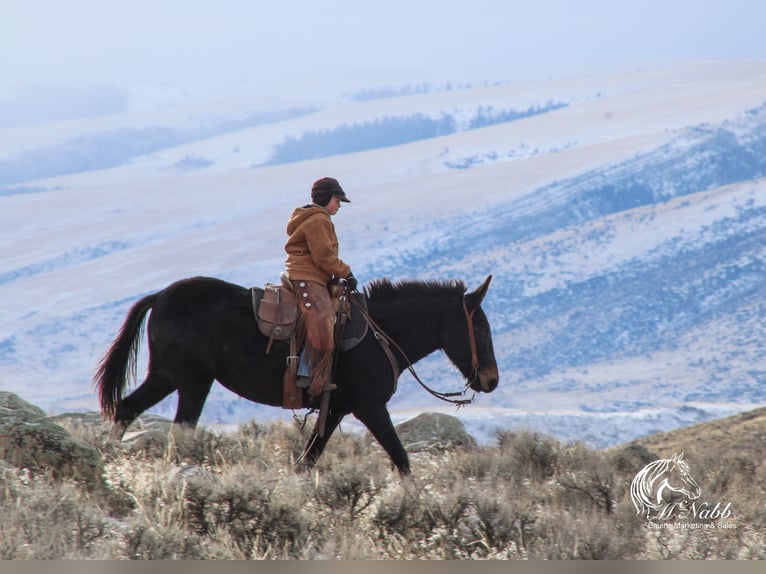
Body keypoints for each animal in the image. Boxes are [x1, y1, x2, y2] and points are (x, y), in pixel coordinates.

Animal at [96, 276, 500, 474]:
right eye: (480, 328)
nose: (492, 379)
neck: (380, 333)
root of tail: (160, 296)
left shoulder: (335, 410)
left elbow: (308, 460)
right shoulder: (371, 408)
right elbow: (401, 460)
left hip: (167, 377)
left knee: (128, 408)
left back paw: (110, 459)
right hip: (193, 382)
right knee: (179, 428)